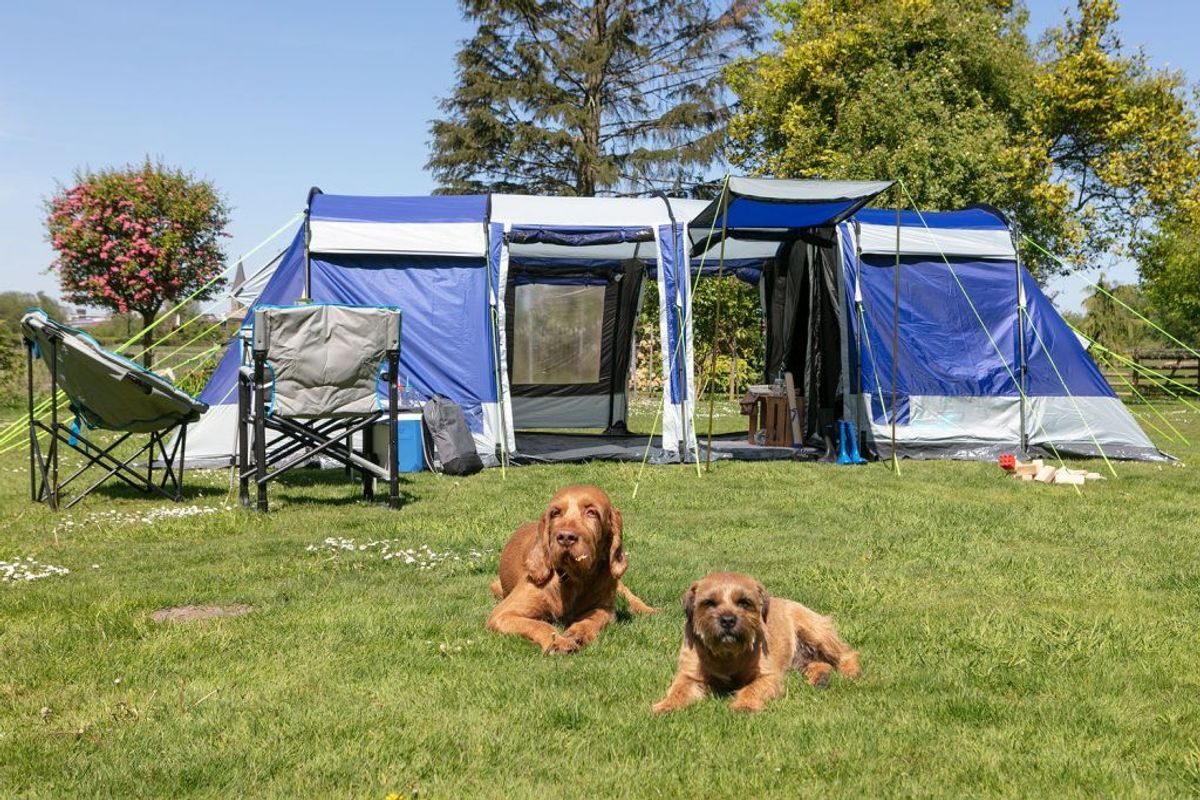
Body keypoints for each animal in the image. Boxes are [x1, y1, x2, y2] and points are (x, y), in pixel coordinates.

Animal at [484, 484, 657, 652]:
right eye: (555, 513)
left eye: (592, 512)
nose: (566, 537)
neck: (573, 578)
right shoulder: (502, 614)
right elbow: (541, 624)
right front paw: (558, 642)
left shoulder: (606, 609)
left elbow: (593, 618)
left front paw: (578, 632)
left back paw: (646, 609)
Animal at [652, 568, 859, 714]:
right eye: (709, 602)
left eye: (744, 602)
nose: (728, 620)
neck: (727, 655)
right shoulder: (689, 675)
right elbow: (678, 690)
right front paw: (665, 706)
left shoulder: (767, 676)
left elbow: (751, 688)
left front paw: (745, 705)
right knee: (820, 663)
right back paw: (820, 677)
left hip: (814, 630)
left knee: (847, 653)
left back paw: (850, 671)